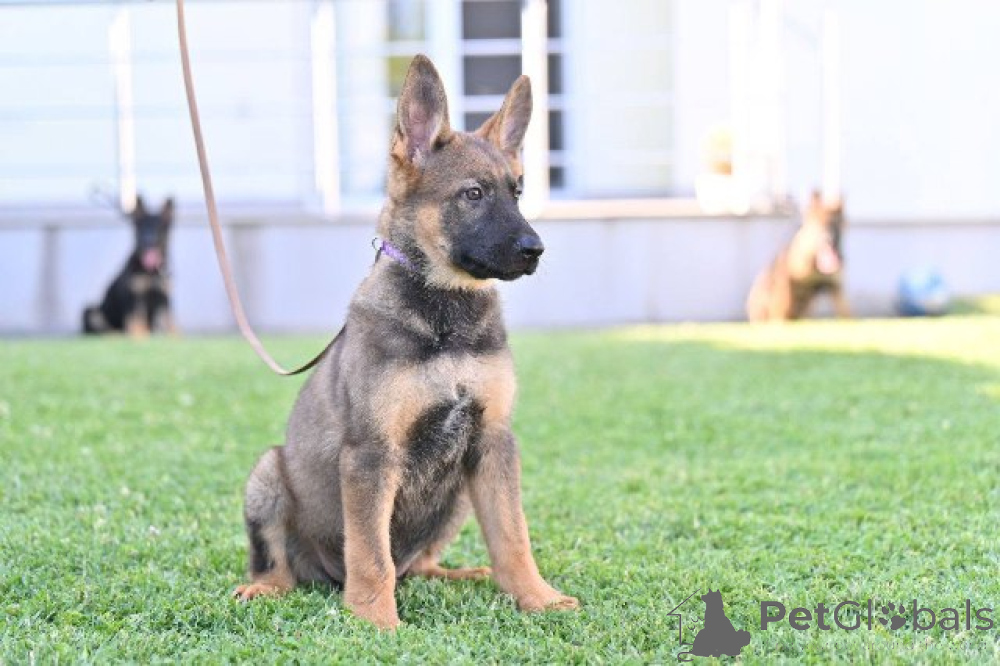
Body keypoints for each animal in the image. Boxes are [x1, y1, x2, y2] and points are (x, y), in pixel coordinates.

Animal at [82, 196, 177, 337]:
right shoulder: (136, 297)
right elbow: (138, 319)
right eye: (143, 228)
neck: (150, 271)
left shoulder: (164, 298)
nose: (148, 241)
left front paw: (173, 336)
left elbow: (169, 321)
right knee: (106, 331)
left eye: (158, 227)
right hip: (89, 310)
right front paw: (140, 337)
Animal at [233, 55, 578, 629]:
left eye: (518, 191)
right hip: (268, 474)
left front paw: (537, 598)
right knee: (283, 564)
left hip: (457, 494)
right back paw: (267, 588)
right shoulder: (372, 455)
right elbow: (371, 553)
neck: (446, 315)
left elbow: (512, 536)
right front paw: (376, 621)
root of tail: (323, 576)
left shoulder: (493, 442)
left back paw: (460, 574)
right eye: (473, 194)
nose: (536, 249)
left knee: (418, 564)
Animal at [746, 191, 849, 322]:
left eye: (835, 224)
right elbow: (784, 305)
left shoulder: (835, 288)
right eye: (819, 223)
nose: (828, 239)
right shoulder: (788, 279)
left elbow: (846, 313)